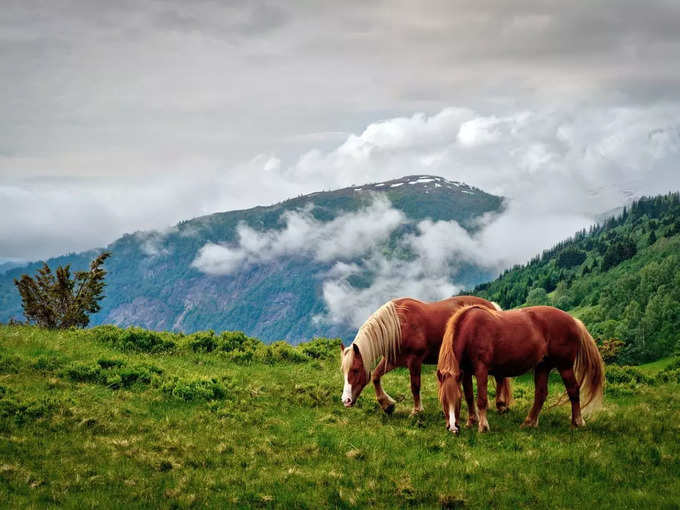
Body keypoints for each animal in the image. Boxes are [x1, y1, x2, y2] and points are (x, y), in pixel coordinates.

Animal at [342, 296, 512, 416]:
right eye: (344, 371)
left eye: (355, 370)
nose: (346, 400)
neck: (398, 325)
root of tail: (492, 307)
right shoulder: (392, 360)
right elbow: (376, 376)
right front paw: (387, 405)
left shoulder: (415, 361)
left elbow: (415, 386)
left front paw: (417, 411)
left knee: (499, 378)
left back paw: (500, 405)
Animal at [438, 304, 604, 432]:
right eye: (443, 401)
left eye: (456, 401)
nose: (452, 428)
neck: (471, 330)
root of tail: (574, 321)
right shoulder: (465, 373)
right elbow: (469, 397)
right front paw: (471, 422)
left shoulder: (481, 371)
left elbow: (481, 399)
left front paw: (483, 426)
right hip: (543, 366)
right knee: (541, 393)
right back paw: (529, 422)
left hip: (565, 366)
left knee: (573, 390)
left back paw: (577, 422)